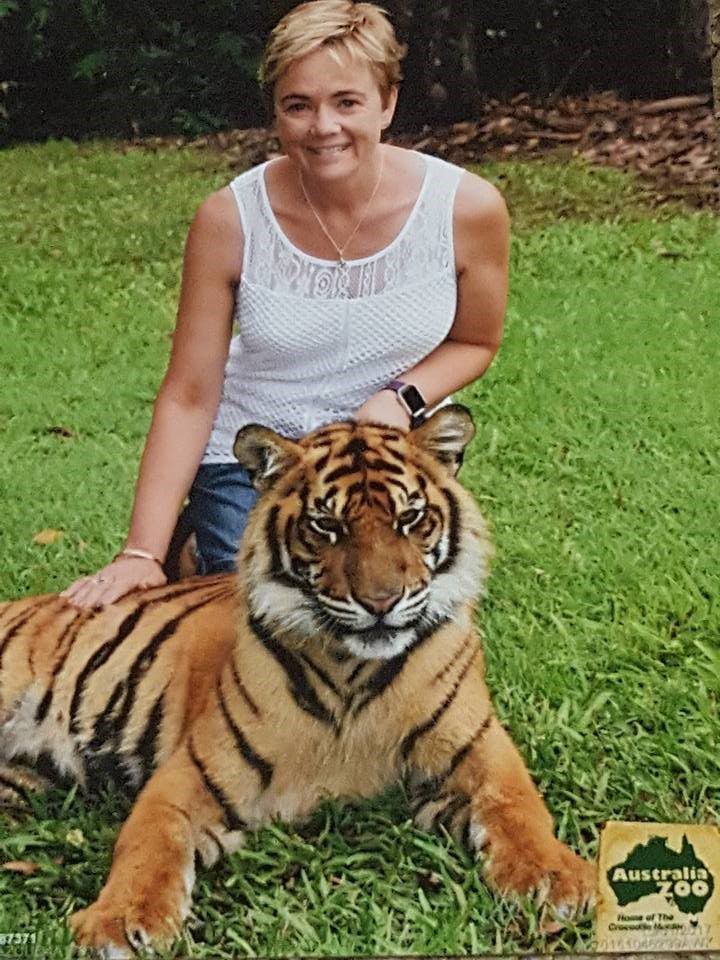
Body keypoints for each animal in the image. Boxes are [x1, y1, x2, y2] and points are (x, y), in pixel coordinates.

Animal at [0, 405, 595, 956]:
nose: (381, 602)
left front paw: (557, 877)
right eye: (326, 525)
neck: (354, 673)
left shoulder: (481, 752)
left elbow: (520, 810)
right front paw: (118, 921)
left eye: (410, 518)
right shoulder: (189, 779)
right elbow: (148, 844)